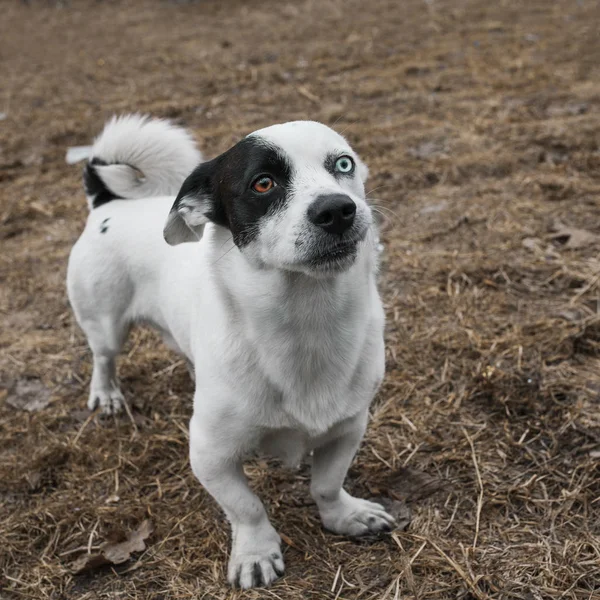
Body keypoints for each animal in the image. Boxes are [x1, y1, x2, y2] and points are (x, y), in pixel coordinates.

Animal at [67, 115, 394, 588]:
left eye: (343, 164)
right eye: (263, 183)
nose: (337, 209)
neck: (306, 321)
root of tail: (107, 204)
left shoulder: (348, 428)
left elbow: (327, 484)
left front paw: (344, 516)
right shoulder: (209, 456)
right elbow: (246, 507)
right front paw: (256, 552)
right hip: (105, 324)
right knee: (103, 356)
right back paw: (106, 393)